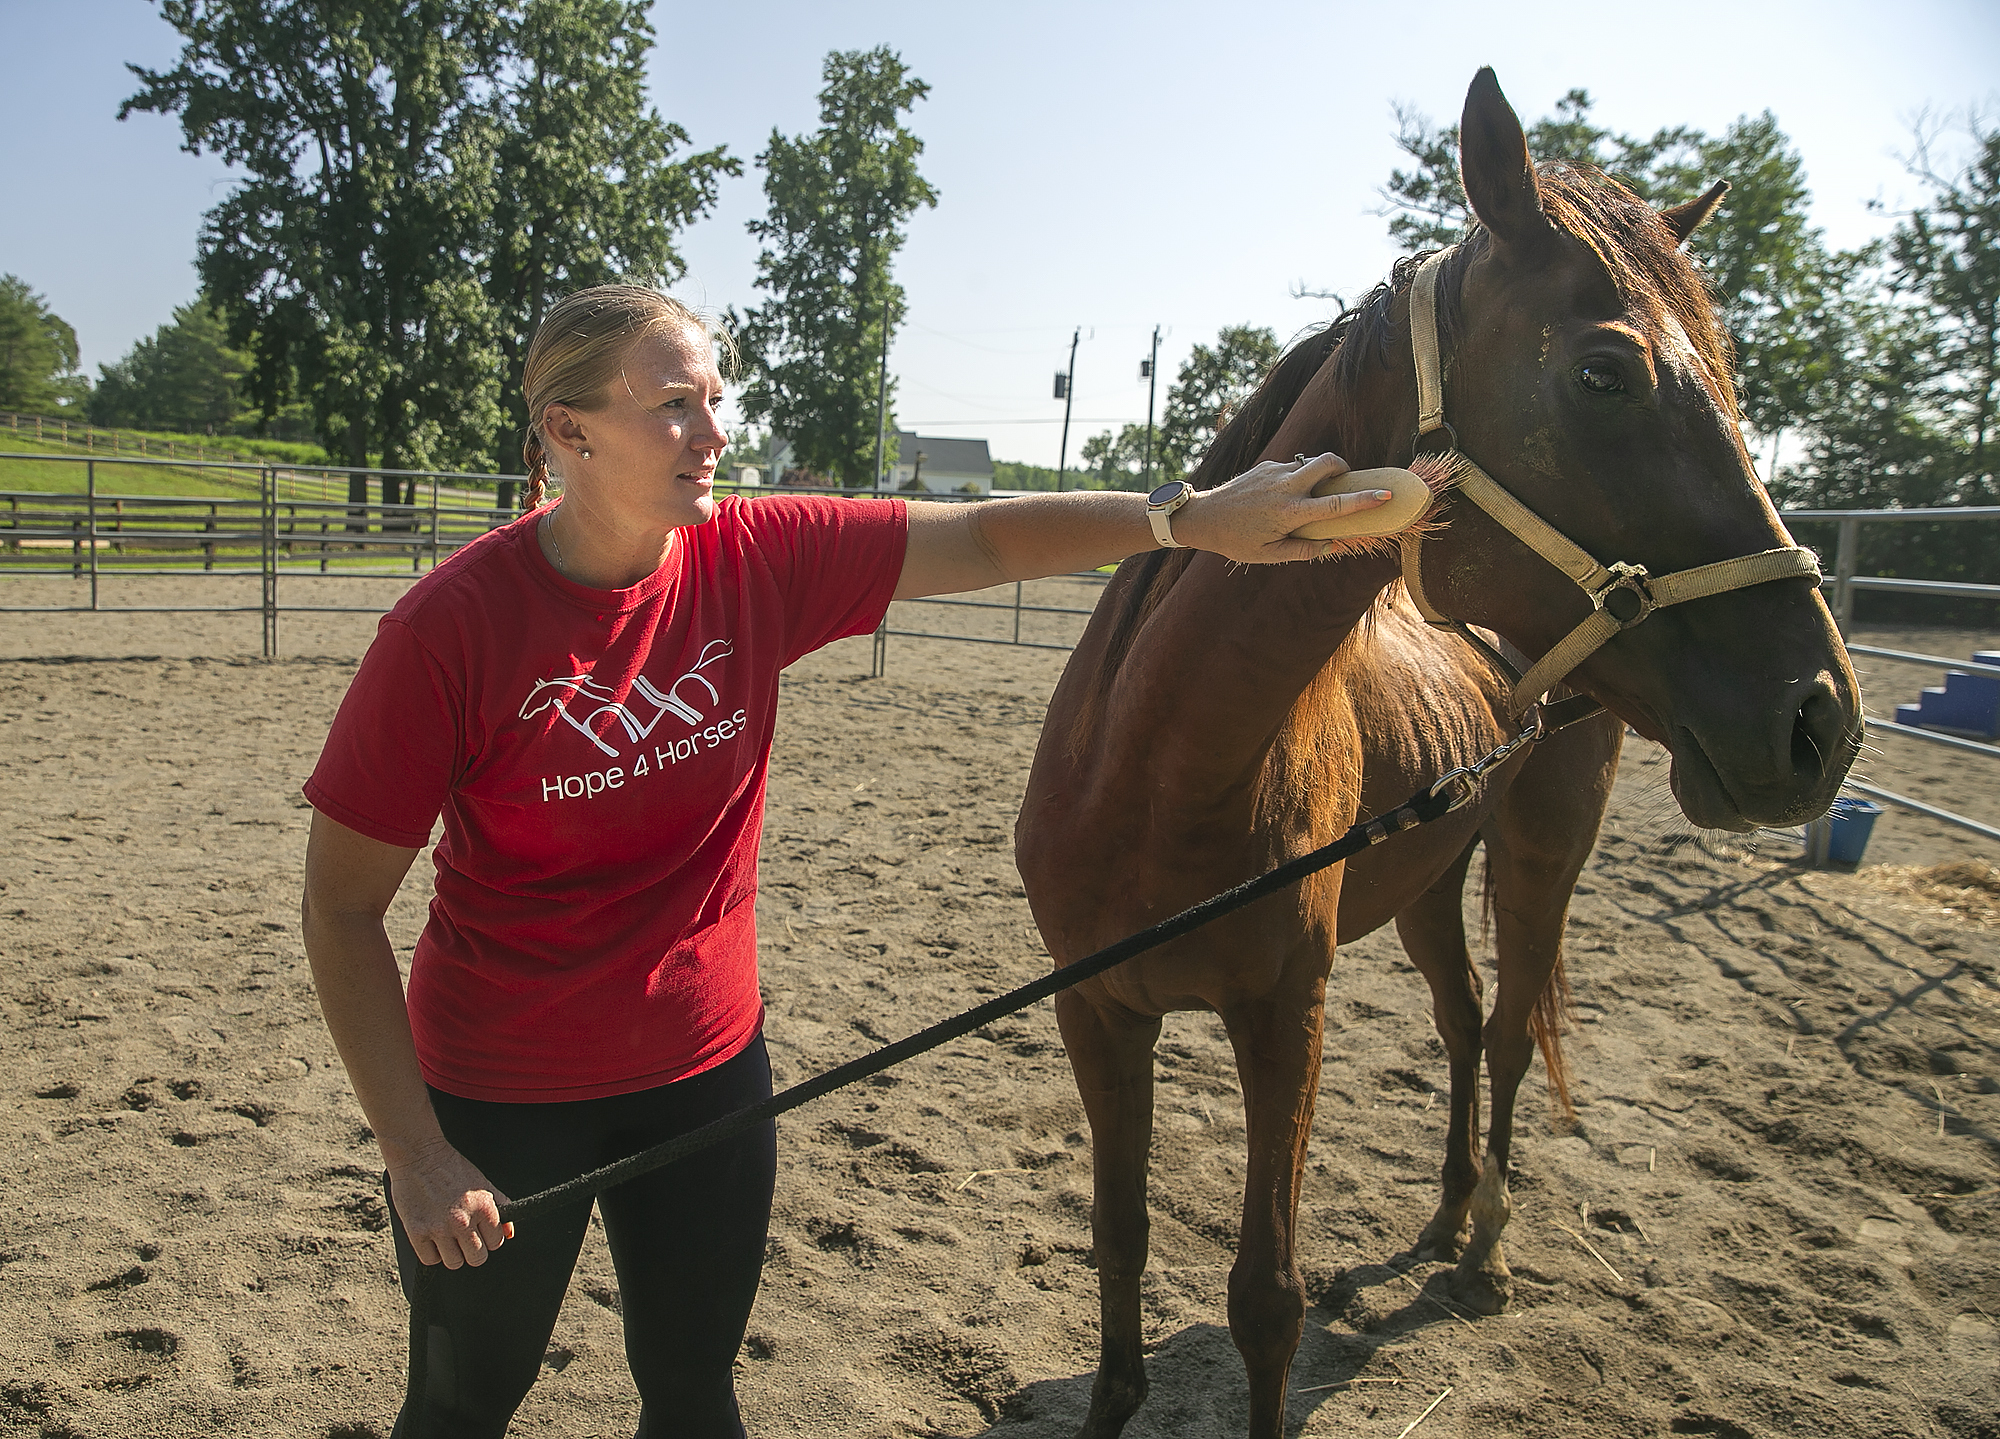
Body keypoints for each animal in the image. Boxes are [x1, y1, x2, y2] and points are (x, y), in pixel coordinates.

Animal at [1016, 70, 1856, 1439]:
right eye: (1604, 371)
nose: (1818, 718)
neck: (1153, 776)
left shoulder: (1284, 1014)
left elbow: (1264, 1297)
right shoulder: (1097, 1008)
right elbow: (1118, 1234)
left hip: (1534, 856)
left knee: (1507, 1031)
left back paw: (1486, 1248)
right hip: (1424, 879)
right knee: (1462, 1022)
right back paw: (1450, 1212)